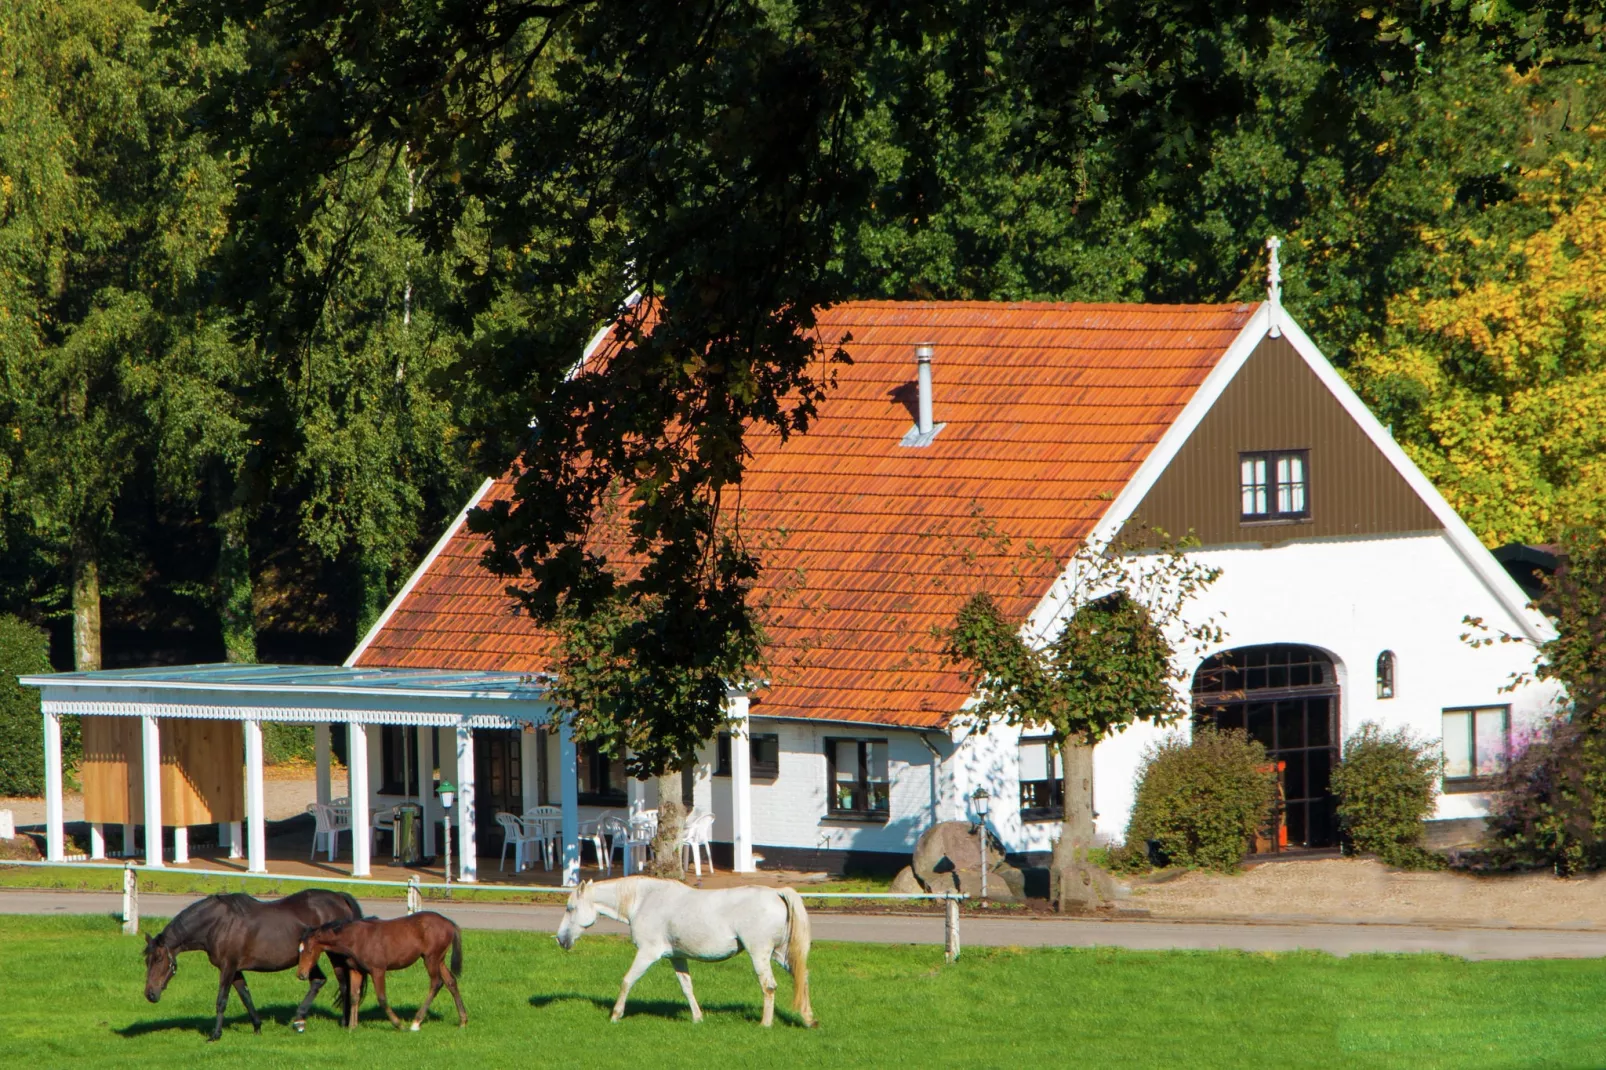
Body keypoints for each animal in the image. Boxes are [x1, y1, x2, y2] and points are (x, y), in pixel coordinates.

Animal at [142, 886, 362, 1034]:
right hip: (310, 958)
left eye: (159, 959)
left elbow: (222, 1000)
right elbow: (245, 996)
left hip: (335, 955)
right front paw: (257, 1026)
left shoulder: (228, 967)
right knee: (319, 981)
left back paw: (343, 1023)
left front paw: (215, 1034)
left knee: (344, 985)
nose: (150, 994)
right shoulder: (235, 969)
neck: (218, 923)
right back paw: (299, 1020)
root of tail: (339, 897)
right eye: (147, 961)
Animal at [298, 906, 468, 1028]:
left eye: (309, 950)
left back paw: (416, 1022)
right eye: (299, 950)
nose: (301, 974)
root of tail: (449, 922)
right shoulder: (356, 970)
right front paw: (352, 1026)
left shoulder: (378, 970)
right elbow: (354, 996)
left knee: (436, 983)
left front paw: (398, 1024)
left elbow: (382, 998)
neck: (355, 938)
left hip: (431, 958)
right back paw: (463, 1020)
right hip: (439, 959)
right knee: (451, 982)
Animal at [558, 873, 822, 1028]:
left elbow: (627, 981)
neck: (644, 900)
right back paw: (809, 1019)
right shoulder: (677, 958)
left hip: (760, 954)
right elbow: (687, 987)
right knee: (803, 977)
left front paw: (615, 1015)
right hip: (780, 954)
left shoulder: (647, 953)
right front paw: (697, 1018)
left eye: (570, 908)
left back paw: (765, 1024)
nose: (561, 939)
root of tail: (777, 893)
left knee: (769, 986)